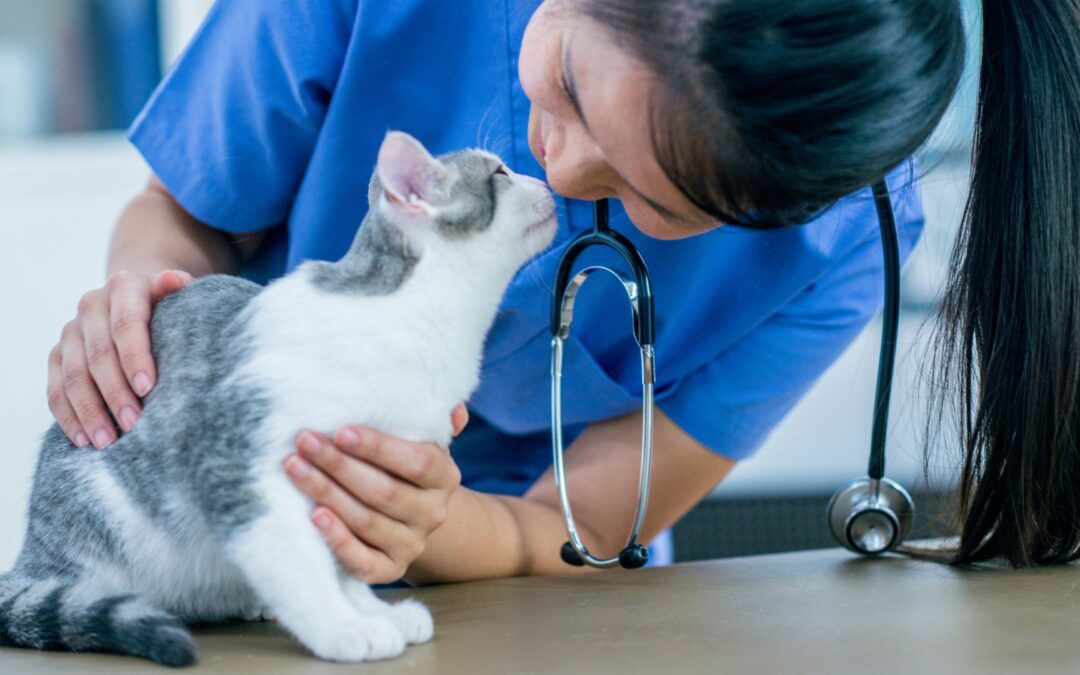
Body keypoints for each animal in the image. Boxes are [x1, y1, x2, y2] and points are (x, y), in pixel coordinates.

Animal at [0, 131, 557, 665]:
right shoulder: (237, 462)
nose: (543, 177)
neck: (419, 319)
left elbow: (344, 560)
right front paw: (342, 627)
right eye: (500, 173)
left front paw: (369, 610)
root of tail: (34, 552)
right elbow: (299, 560)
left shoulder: (348, 485)